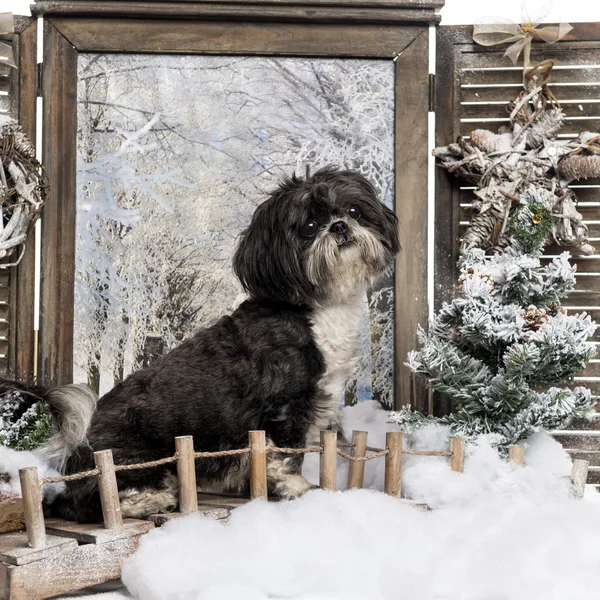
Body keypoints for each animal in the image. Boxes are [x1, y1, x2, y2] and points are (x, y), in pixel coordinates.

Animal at [4, 166, 400, 524]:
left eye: (353, 211)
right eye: (308, 227)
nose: (340, 227)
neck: (315, 308)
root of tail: (74, 457)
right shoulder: (285, 405)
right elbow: (287, 454)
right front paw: (298, 489)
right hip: (133, 457)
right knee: (92, 501)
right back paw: (148, 501)